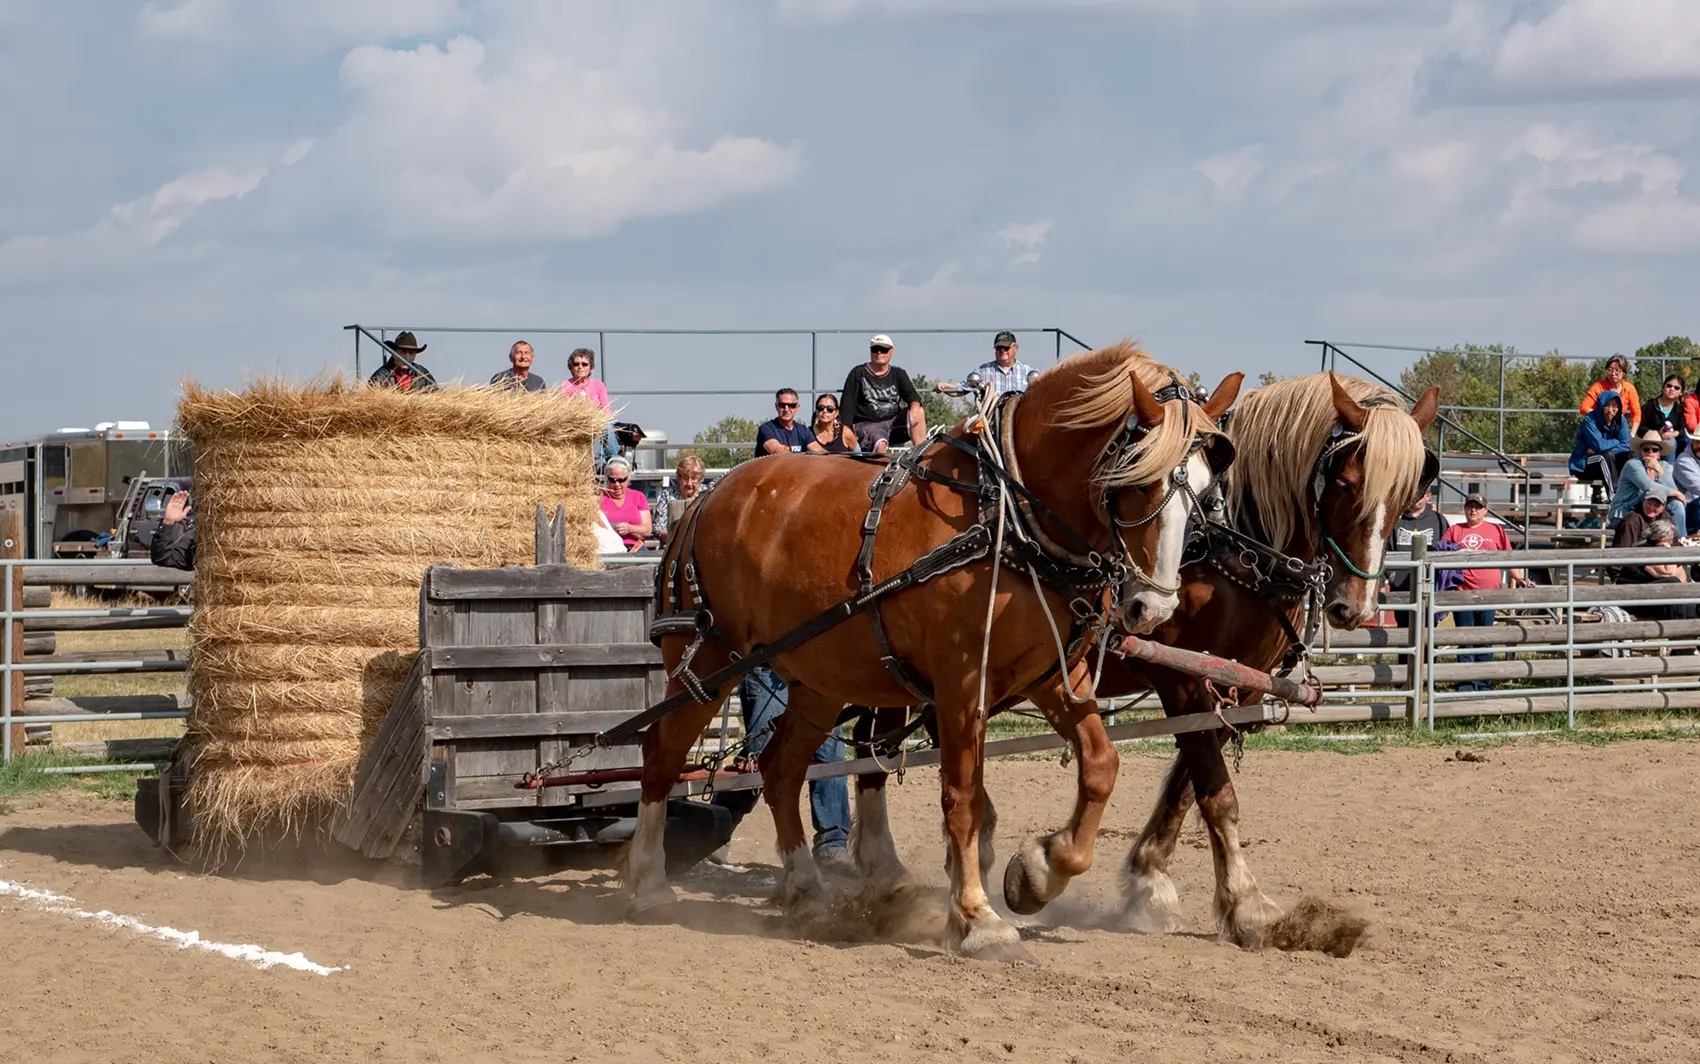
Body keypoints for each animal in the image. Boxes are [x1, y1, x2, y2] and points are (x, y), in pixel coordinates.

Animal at [627, 342, 1242, 958]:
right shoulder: (961, 683)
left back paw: (805, 892)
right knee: (661, 753)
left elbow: (1100, 765)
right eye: (1137, 482)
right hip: (708, 662)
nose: (1152, 608)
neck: (1006, 512)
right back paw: (649, 884)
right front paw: (977, 917)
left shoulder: (1053, 675)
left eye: (1206, 493)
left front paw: (1037, 873)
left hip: (820, 679)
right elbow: (963, 797)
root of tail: (709, 495)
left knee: (780, 769)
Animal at [992, 372, 1440, 950]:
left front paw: (1148, 879)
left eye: (1408, 496)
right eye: (1344, 482)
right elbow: (1216, 790)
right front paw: (1248, 907)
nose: (1354, 607)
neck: (1227, 543)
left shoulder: (1236, 683)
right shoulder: (1179, 677)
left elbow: (1188, 786)